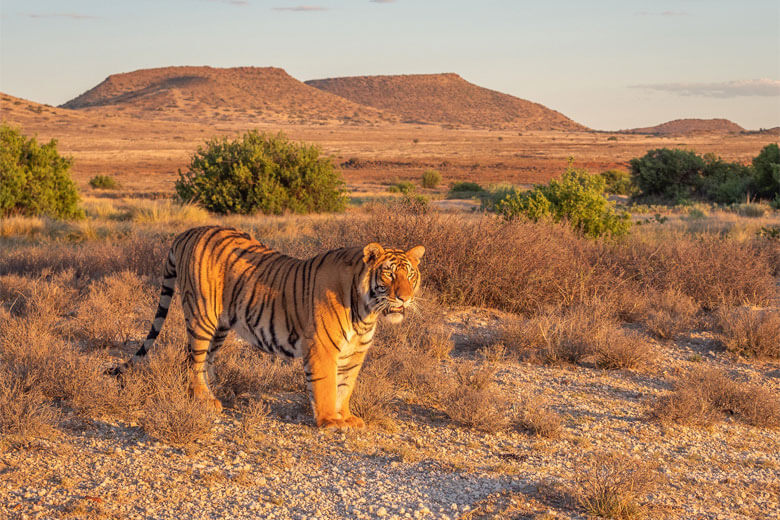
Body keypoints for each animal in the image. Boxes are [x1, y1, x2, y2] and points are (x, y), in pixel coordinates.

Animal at [112, 225, 424, 429]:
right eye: (389, 274)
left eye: (410, 275)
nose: (405, 297)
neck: (366, 312)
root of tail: (187, 232)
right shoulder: (323, 348)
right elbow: (326, 386)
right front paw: (329, 421)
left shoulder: (355, 353)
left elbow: (345, 386)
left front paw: (346, 417)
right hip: (201, 314)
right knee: (192, 359)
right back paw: (204, 399)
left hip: (221, 325)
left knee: (207, 359)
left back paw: (216, 392)